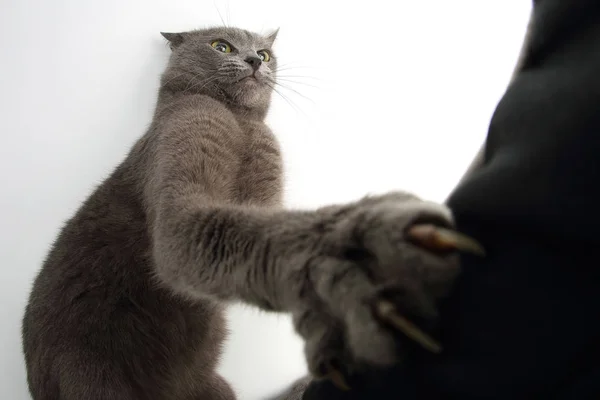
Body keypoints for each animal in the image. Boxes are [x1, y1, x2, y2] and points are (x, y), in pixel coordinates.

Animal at [21, 26, 482, 398]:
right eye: (221, 45)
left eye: (266, 51)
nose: (254, 59)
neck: (239, 122)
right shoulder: (180, 162)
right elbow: (235, 232)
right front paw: (351, 255)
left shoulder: (263, 189)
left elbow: (259, 234)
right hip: (95, 380)